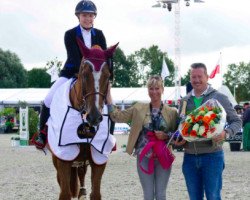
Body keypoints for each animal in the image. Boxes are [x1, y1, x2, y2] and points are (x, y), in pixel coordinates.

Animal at [49, 38, 119, 200]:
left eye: (108, 76)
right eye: (85, 74)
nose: (94, 117)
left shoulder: (99, 159)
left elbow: (96, 193)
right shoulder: (63, 158)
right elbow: (65, 193)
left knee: (81, 175)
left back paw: (82, 192)